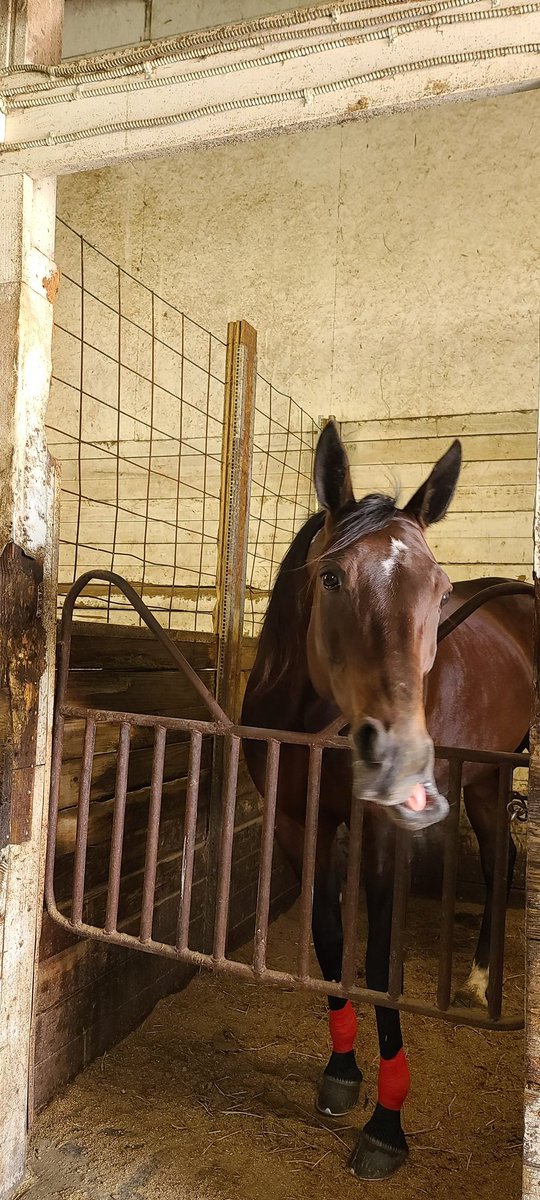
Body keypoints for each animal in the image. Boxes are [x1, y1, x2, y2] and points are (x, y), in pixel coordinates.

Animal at [241, 422, 533, 1180]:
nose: (399, 748)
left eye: (440, 588)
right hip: (482, 779)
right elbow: (328, 933)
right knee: (502, 855)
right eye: (332, 577)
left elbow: (379, 960)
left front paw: (387, 1123)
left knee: (499, 859)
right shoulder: (297, 821)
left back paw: (480, 979)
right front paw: (344, 1069)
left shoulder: (384, 834)